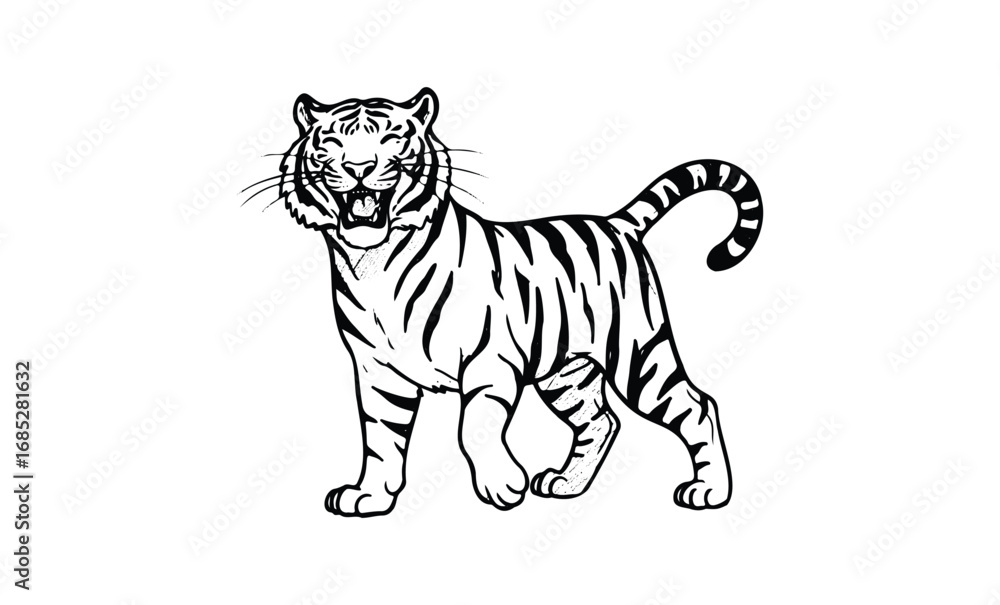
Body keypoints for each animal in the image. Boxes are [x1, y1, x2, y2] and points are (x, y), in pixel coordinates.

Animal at [268, 87, 763, 517]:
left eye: (392, 138)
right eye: (333, 142)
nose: (359, 167)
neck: (373, 265)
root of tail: (617, 222)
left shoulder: (489, 361)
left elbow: (472, 426)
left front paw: (503, 485)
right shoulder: (378, 371)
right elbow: (380, 440)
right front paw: (369, 496)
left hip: (637, 355)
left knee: (697, 406)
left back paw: (710, 491)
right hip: (567, 372)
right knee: (602, 421)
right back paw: (566, 483)